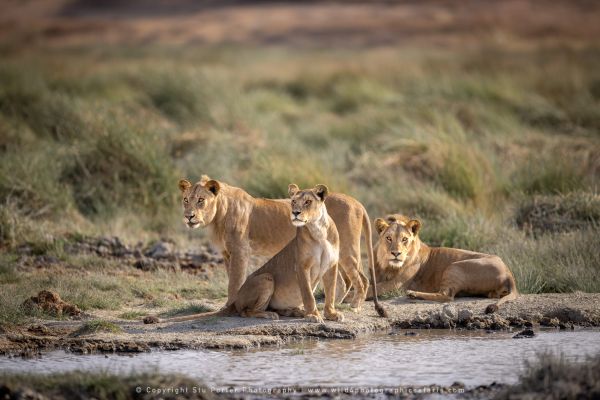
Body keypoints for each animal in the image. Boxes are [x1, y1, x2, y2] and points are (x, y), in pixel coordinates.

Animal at [147, 186, 344, 324]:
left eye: (308, 202)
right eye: (293, 202)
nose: (295, 213)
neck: (318, 230)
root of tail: (234, 301)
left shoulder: (331, 265)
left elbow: (330, 292)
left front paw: (331, 314)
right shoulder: (301, 266)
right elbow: (308, 294)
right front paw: (313, 315)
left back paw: (295, 311)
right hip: (266, 278)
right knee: (245, 311)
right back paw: (269, 314)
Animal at [176, 175, 386, 316]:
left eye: (201, 200)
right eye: (185, 200)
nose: (188, 216)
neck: (219, 216)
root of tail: (356, 202)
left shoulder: (240, 252)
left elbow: (234, 282)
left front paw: (229, 308)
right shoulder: (227, 254)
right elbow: (232, 281)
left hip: (346, 250)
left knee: (361, 279)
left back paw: (355, 306)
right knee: (344, 281)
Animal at [368, 214, 516, 314]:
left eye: (405, 239)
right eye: (388, 238)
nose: (396, 253)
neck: (386, 265)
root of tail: (509, 273)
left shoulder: (396, 285)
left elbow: (371, 289)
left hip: (454, 266)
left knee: (447, 296)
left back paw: (413, 294)